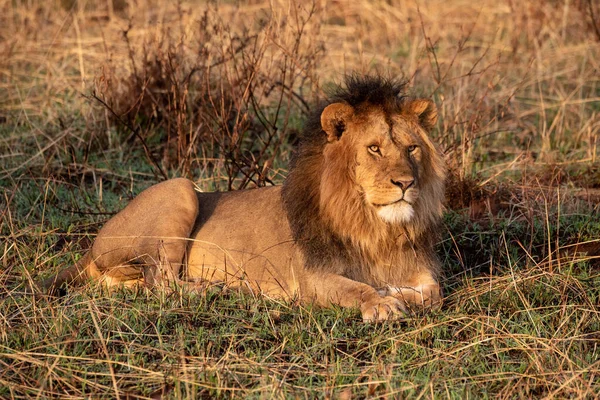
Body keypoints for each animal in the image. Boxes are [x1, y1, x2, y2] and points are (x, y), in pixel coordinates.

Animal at [42, 76, 446, 324]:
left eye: (411, 148)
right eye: (374, 148)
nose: (406, 182)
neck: (377, 227)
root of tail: (93, 244)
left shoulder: (419, 269)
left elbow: (433, 293)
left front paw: (393, 291)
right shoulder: (312, 277)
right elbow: (355, 287)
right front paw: (381, 302)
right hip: (180, 188)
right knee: (162, 282)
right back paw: (212, 290)